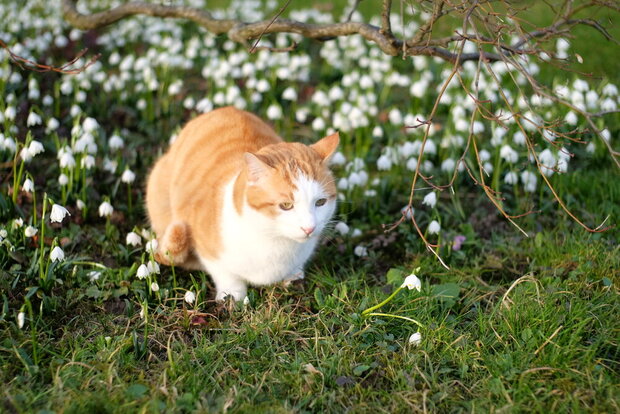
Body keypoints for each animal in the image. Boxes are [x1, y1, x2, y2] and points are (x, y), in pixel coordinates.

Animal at [146, 106, 340, 300]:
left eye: (321, 202)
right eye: (286, 205)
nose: (309, 228)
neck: (273, 238)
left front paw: (293, 277)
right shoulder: (206, 248)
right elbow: (224, 273)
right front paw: (232, 295)